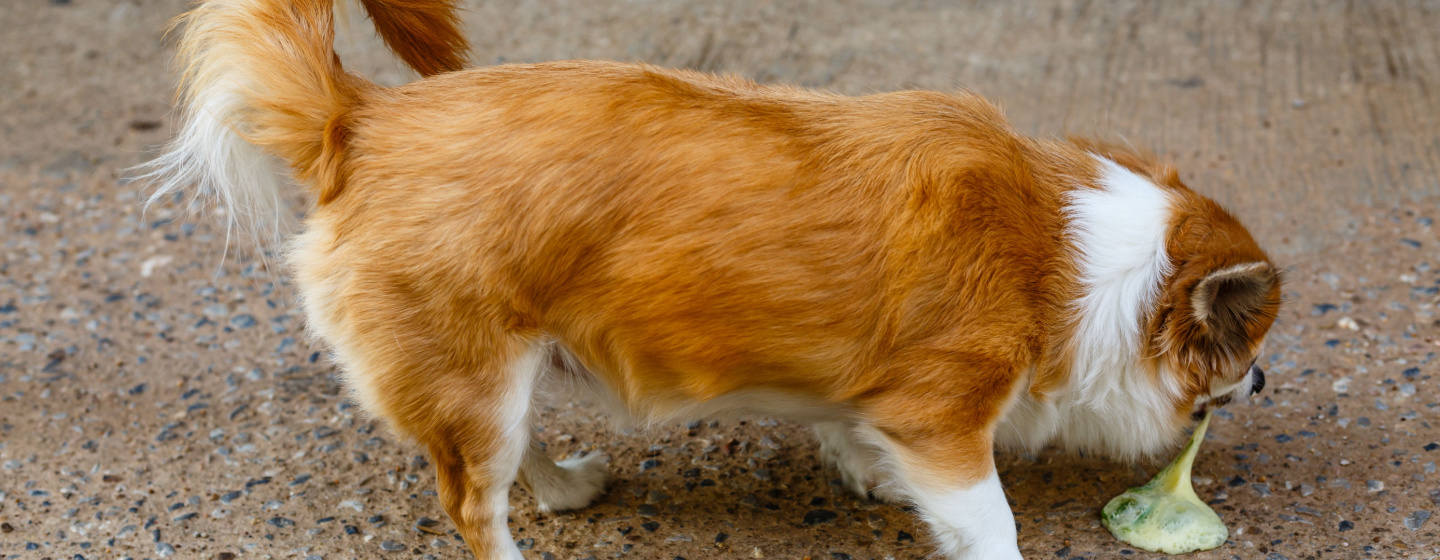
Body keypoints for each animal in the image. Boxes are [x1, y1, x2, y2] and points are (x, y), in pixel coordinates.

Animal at [140, 1, 1278, 558]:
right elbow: (989, 520)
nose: (1263, 379)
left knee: (506, 460)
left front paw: (859, 464)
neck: (1070, 251)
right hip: (475, 377)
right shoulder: (949, 416)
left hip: (501, 372)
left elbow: (852, 424)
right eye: (1251, 346)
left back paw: (563, 485)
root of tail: (363, 118)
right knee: (471, 504)